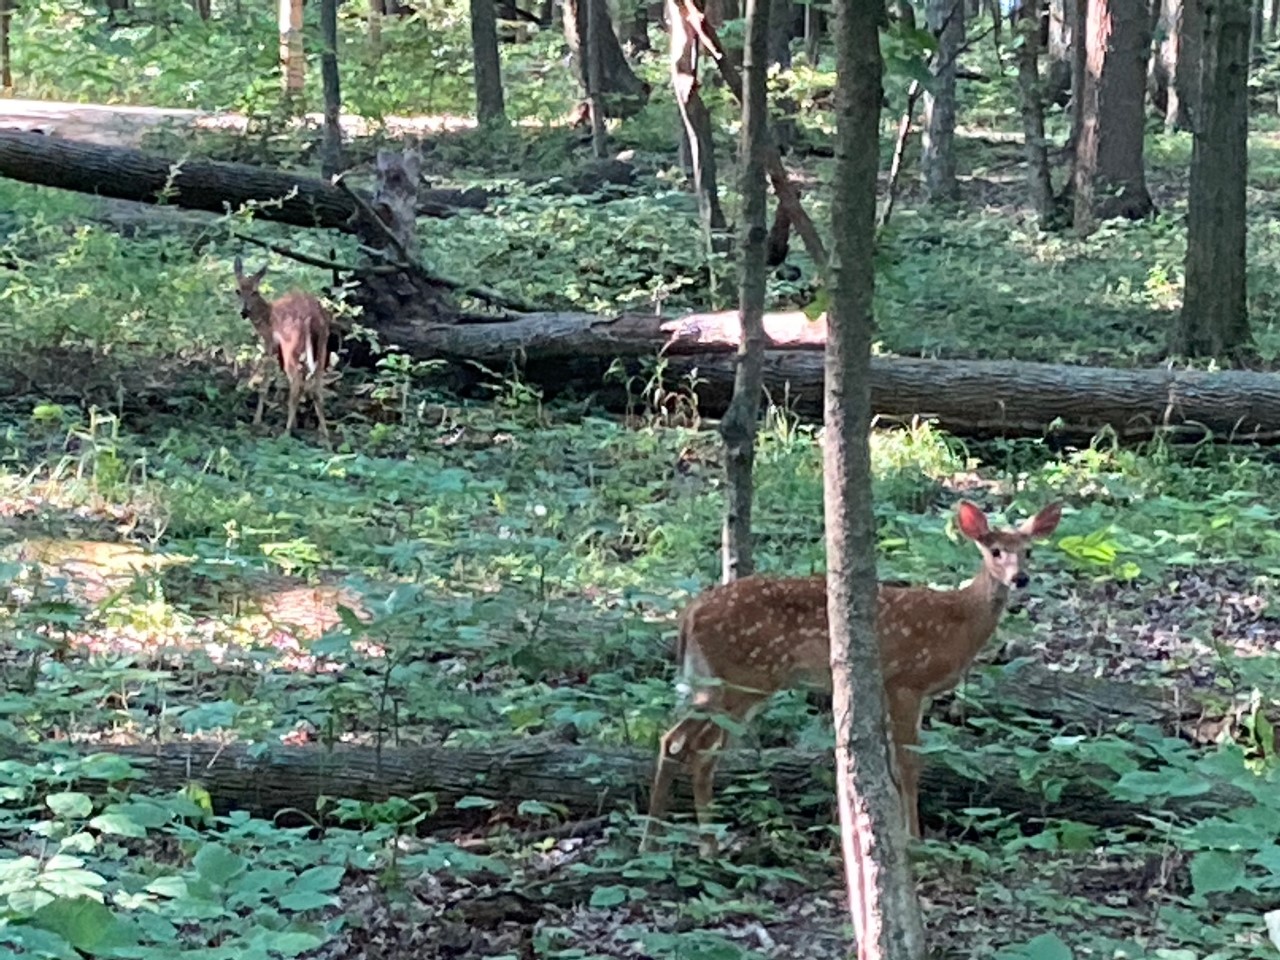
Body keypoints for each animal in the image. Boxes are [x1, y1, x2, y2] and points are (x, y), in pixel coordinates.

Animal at [233, 257, 332, 447]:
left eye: (255, 292)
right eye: (238, 291)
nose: (244, 311)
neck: (266, 316)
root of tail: (311, 317)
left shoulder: (270, 342)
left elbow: (265, 381)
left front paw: (257, 420)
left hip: (290, 344)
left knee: (297, 383)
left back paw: (286, 433)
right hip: (322, 345)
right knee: (315, 387)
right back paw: (324, 436)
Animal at [639, 499, 1063, 857]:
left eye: (1029, 551)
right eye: (995, 551)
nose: (1021, 578)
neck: (959, 620)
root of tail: (689, 613)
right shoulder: (905, 682)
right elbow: (909, 764)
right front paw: (915, 840)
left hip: (718, 683)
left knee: (688, 748)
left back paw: (690, 845)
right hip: (742, 678)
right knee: (686, 745)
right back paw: (665, 844)